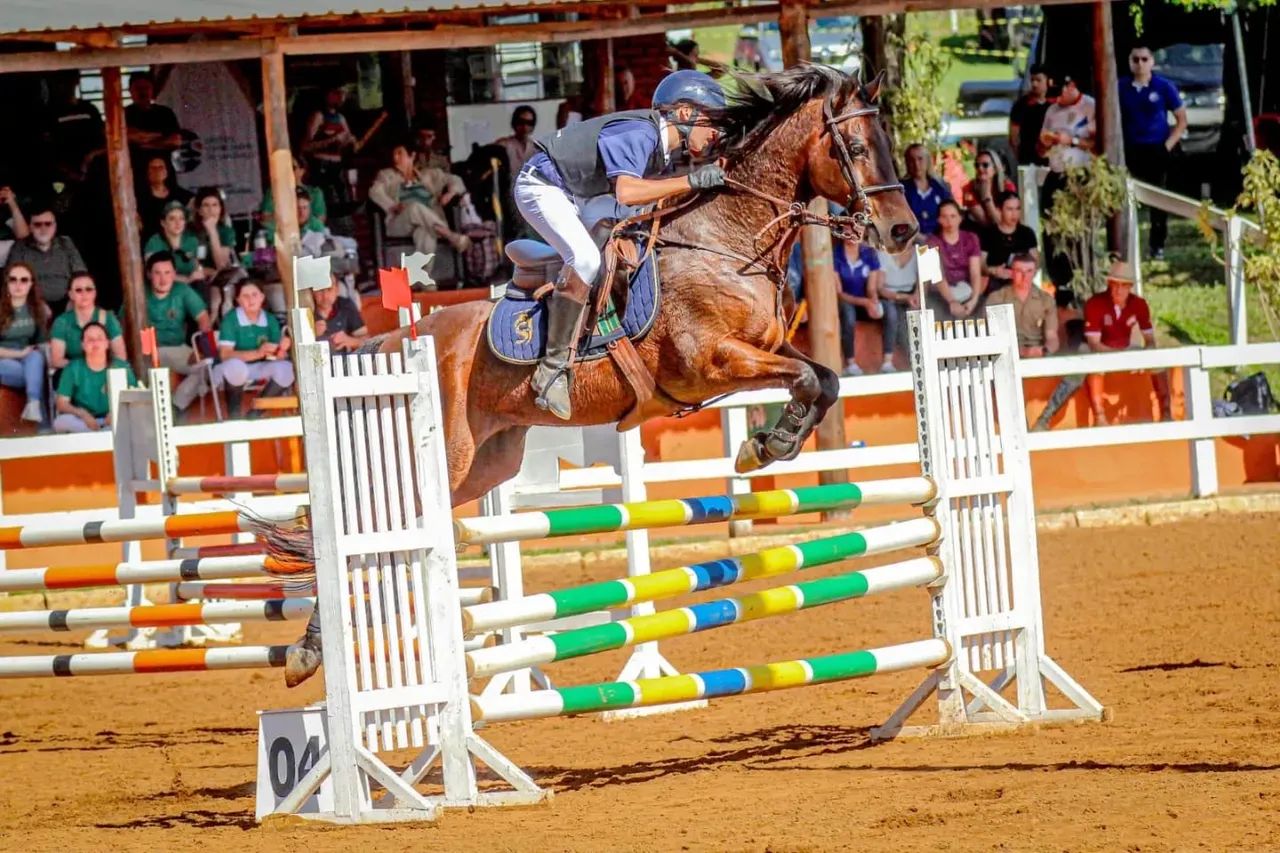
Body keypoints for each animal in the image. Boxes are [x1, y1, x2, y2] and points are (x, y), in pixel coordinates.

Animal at [267, 65, 918, 686]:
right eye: (854, 148)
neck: (724, 241)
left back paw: (320, 651)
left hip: (482, 465)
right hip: (436, 456)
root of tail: (390, 343)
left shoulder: (765, 349)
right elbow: (806, 379)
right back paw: (312, 654)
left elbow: (824, 379)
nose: (903, 232)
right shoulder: (712, 361)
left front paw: (767, 444)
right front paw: (764, 447)